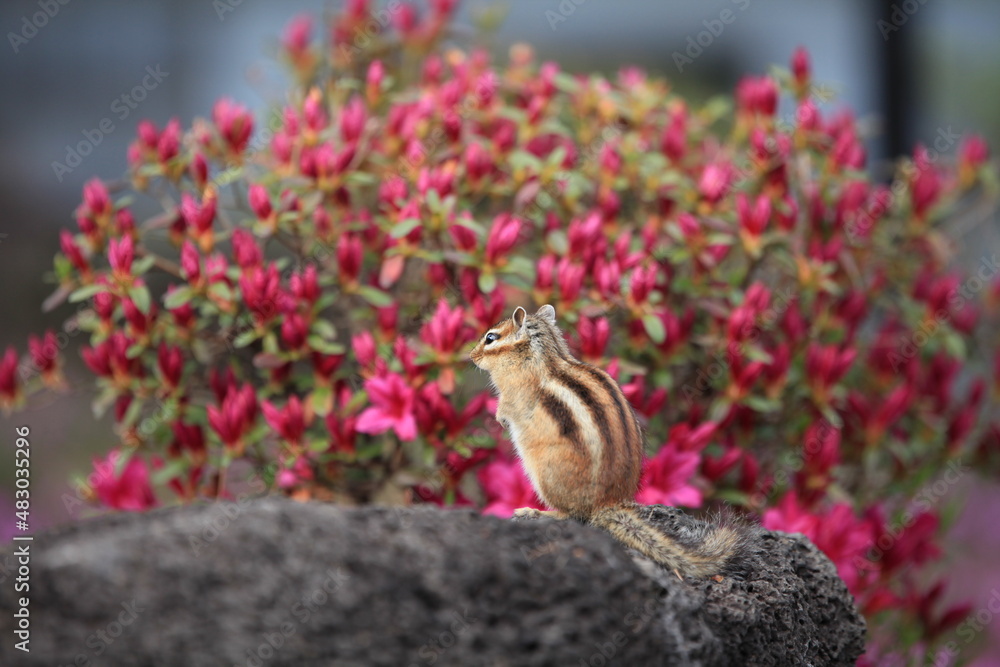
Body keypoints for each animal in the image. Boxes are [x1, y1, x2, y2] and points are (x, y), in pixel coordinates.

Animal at [470, 304, 753, 579]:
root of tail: (607, 504)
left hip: (545, 476)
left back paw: (534, 513)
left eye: (491, 338)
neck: (542, 356)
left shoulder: (514, 394)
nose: (471, 356)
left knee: (571, 516)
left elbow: (507, 408)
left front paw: (500, 419)